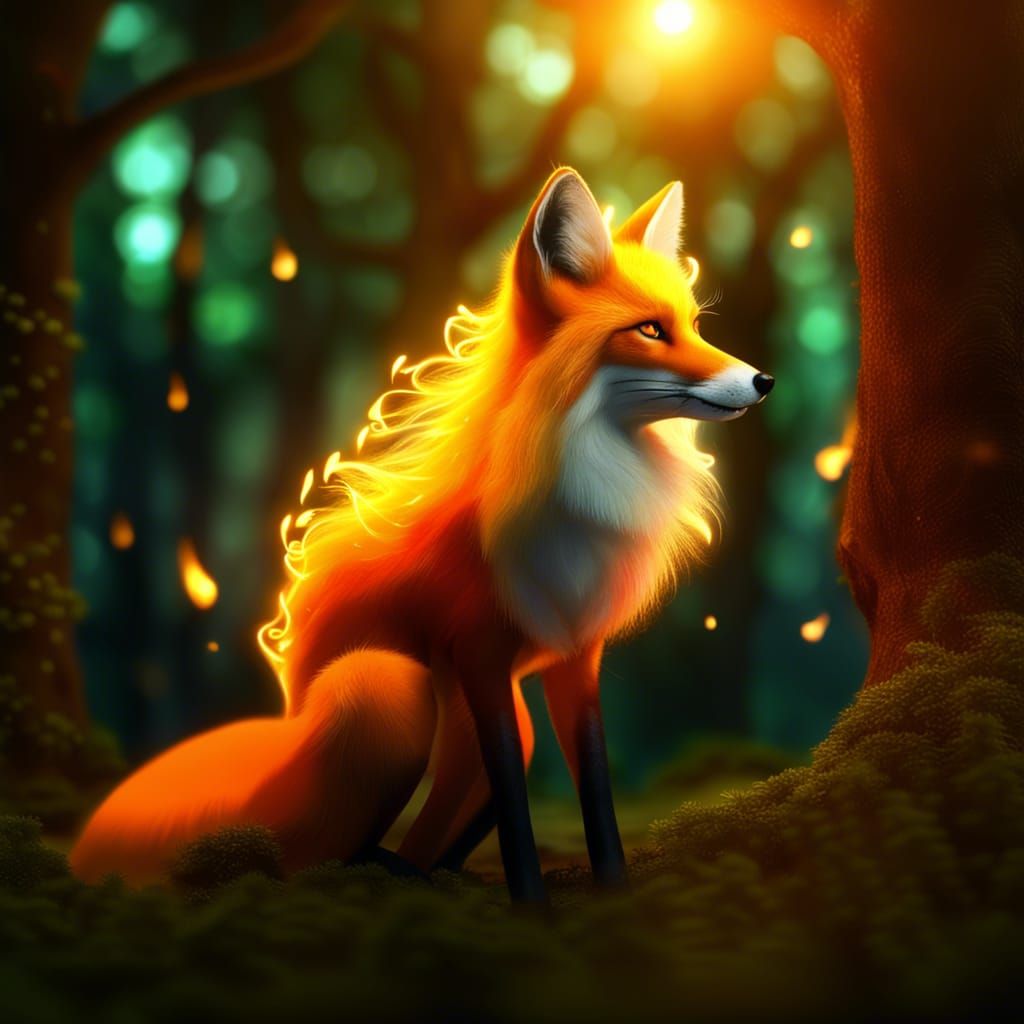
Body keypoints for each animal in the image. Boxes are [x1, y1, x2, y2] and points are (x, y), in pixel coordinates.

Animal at [71, 168, 773, 902]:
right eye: (649, 330)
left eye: (693, 326)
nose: (763, 379)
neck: (586, 475)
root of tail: (285, 720)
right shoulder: (480, 652)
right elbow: (515, 806)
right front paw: (532, 906)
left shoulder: (576, 657)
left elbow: (595, 787)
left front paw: (613, 891)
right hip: (387, 688)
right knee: (316, 854)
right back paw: (374, 871)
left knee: (435, 822)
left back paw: (427, 873)